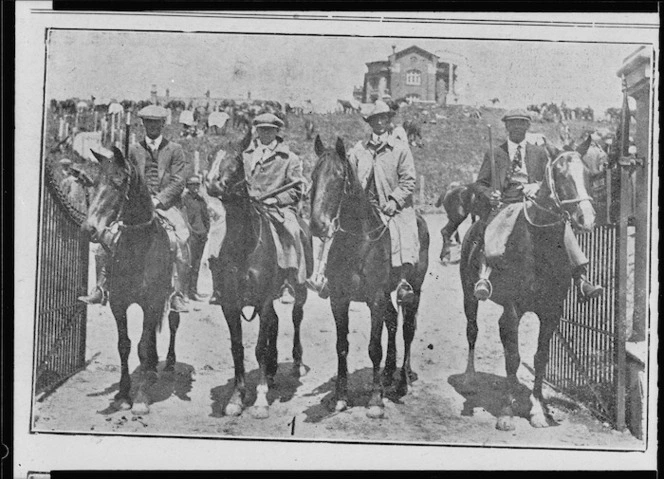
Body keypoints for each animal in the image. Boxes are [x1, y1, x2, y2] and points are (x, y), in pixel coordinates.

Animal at [83, 146, 182, 416]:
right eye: (94, 183)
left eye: (118, 183)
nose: (88, 229)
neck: (139, 247)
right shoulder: (119, 303)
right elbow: (125, 345)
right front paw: (122, 394)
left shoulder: (151, 302)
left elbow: (142, 346)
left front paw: (140, 398)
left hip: (169, 299)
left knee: (172, 322)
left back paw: (168, 363)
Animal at [205, 132, 314, 420]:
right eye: (210, 157)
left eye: (235, 160)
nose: (211, 183)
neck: (244, 243)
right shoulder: (230, 303)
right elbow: (238, 348)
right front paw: (236, 397)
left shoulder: (263, 301)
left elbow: (259, 348)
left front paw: (261, 399)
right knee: (275, 322)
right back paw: (274, 371)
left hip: (300, 289)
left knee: (296, 318)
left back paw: (296, 364)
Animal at [310, 135, 430, 420]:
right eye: (313, 176)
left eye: (338, 177)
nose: (317, 225)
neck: (358, 242)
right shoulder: (339, 300)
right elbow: (341, 345)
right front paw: (340, 398)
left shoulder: (375, 299)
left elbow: (374, 347)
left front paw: (375, 401)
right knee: (393, 322)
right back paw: (388, 374)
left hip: (414, 290)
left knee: (407, 329)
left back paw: (402, 381)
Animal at [462, 150, 596, 432]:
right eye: (561, 175)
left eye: (589, 174)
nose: (587, 218)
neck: (539, 245)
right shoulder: (513, 311)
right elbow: (513, 358)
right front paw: (507, 412)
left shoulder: (551, 313)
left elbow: (539, 358)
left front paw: (538, 410)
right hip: (469, 295)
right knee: (472, 330)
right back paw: (469, 378)